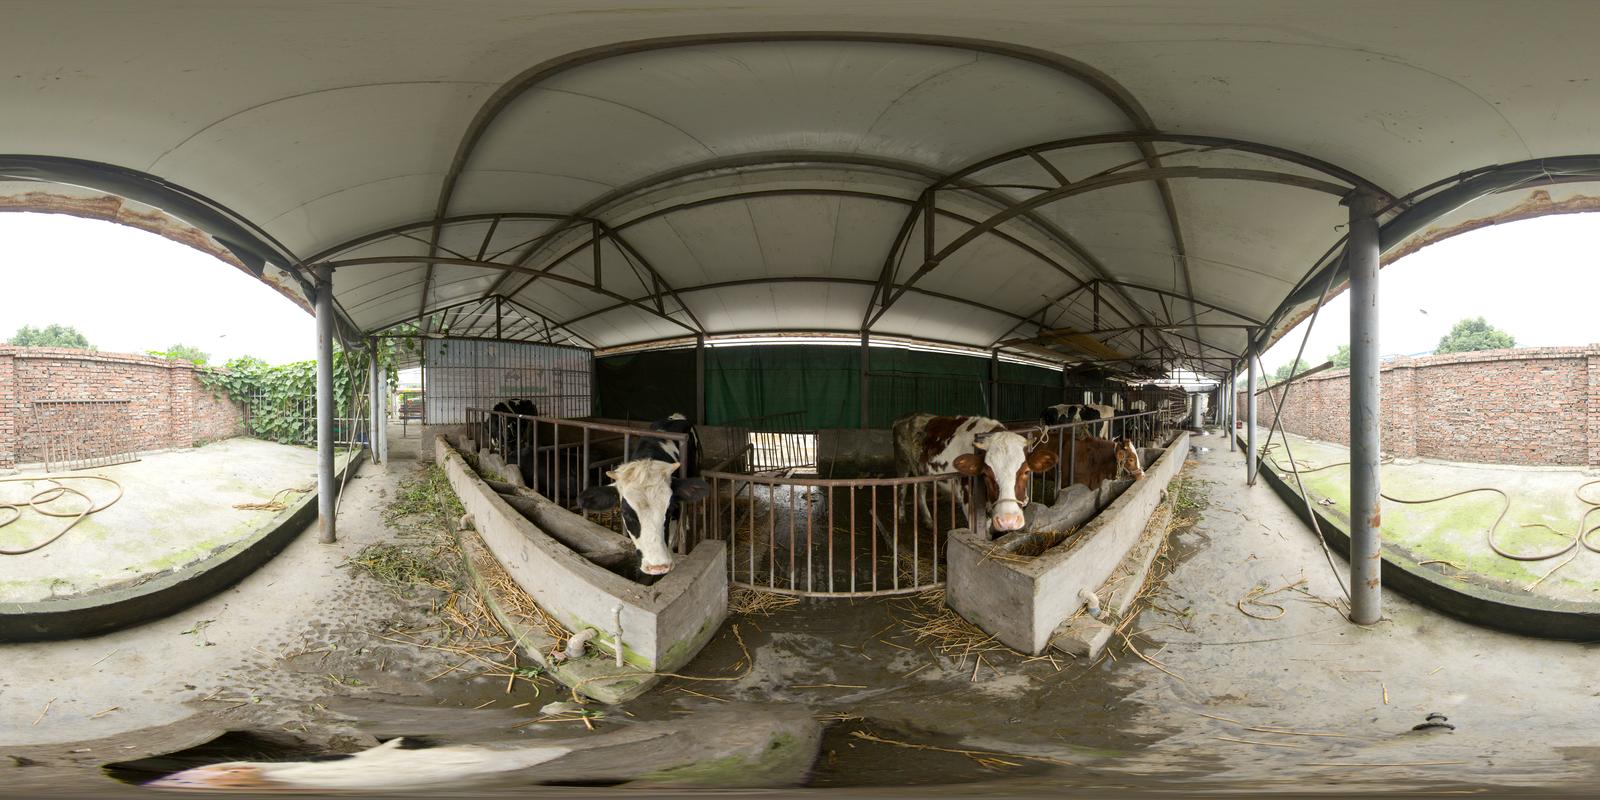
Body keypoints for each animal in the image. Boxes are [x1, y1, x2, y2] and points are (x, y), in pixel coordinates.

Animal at [892, 413, 1056, 535]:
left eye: (1026, 471)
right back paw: (901, 516)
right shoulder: (969, 501)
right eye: (986, 474)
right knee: (901, 489)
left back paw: (928, 520)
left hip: (923, 471)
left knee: (920, 490)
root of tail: (907, 417)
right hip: (902, 463)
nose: (1008, 521)